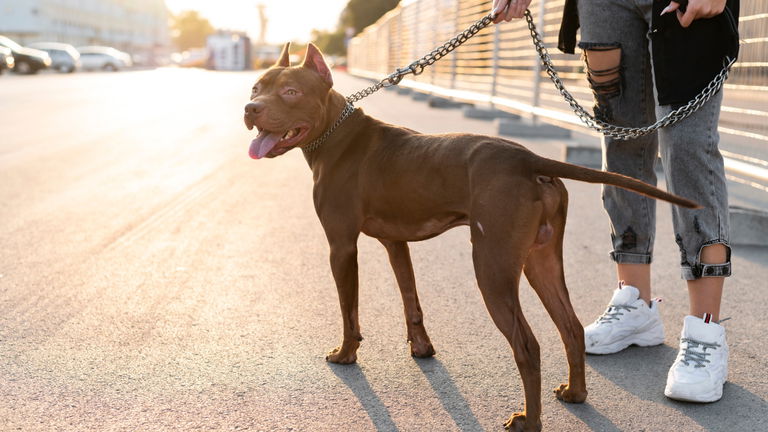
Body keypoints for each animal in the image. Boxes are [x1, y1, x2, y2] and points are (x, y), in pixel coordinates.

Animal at [244, 44, 696, 432]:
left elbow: (348, 310)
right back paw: (575, 393)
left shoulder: (341, 246)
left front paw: (346, 354)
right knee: (570, 327)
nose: (250, 108)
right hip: (541, 261)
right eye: (256, 88)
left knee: (528, 345)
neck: (336, 135)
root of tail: (527, 159)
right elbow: (411, 300)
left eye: (290, 91)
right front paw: (421, 349)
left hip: (492, 269)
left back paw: (529, 420)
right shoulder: (396, 244)